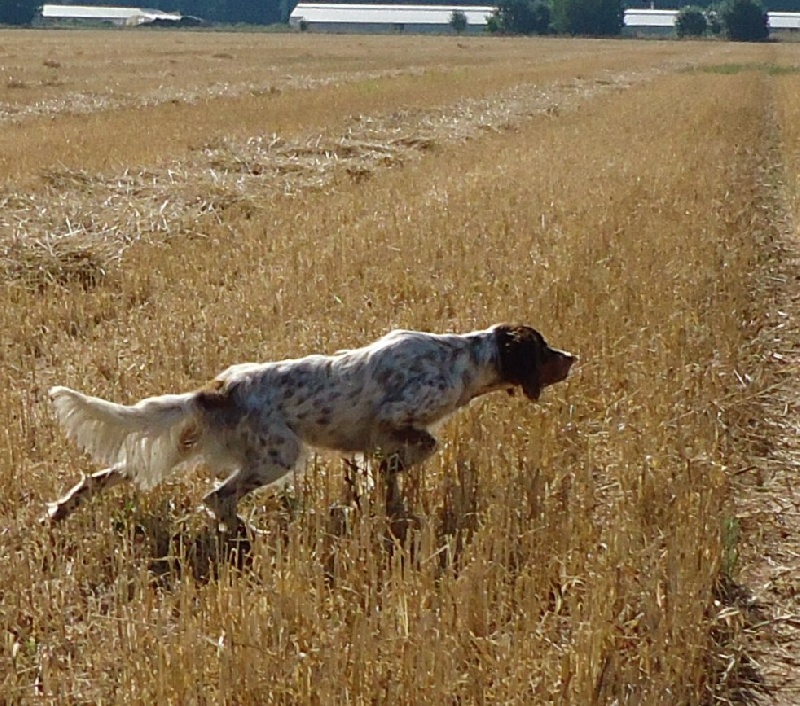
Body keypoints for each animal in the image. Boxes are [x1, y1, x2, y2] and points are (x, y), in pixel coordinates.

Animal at [45, 324, 576, 528]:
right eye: (544, 347)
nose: (572, 358)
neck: (462, 358)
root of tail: (217, 388)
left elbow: (383, 475)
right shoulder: (397, 415)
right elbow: (423, 445)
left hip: (185, 444)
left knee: (104, 475)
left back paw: (59, 511)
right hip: (278, 453)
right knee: (217, 497)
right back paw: (245, 535)